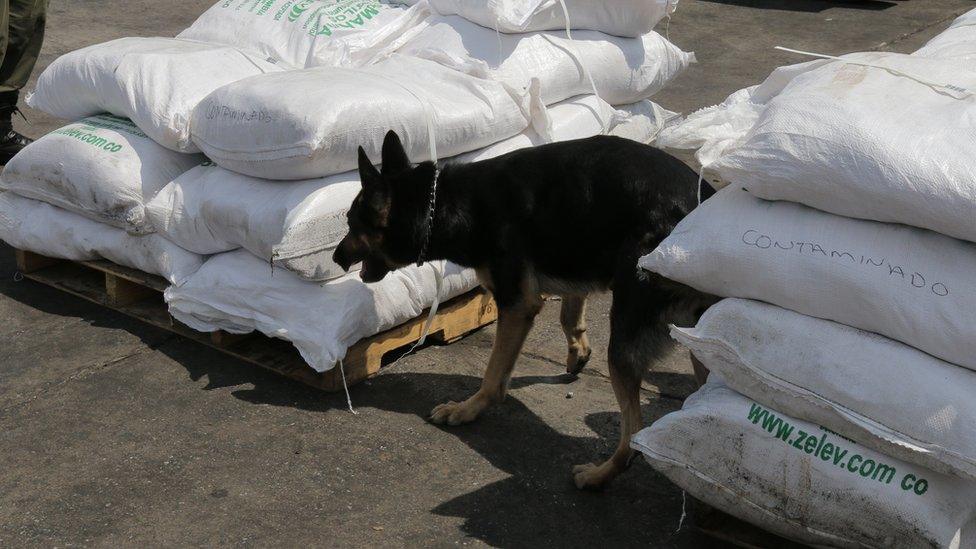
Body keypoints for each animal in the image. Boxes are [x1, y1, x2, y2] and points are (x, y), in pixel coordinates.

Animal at [336, 132, 716, 488]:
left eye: (352, 224)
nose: (336, 257)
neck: (449, 202)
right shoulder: (572, 263)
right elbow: (569, 315)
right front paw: (577, 352)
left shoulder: (517, 304)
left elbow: (494, 374)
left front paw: (467, 409)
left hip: (624, 344)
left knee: (634, 431)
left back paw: (600, 475)